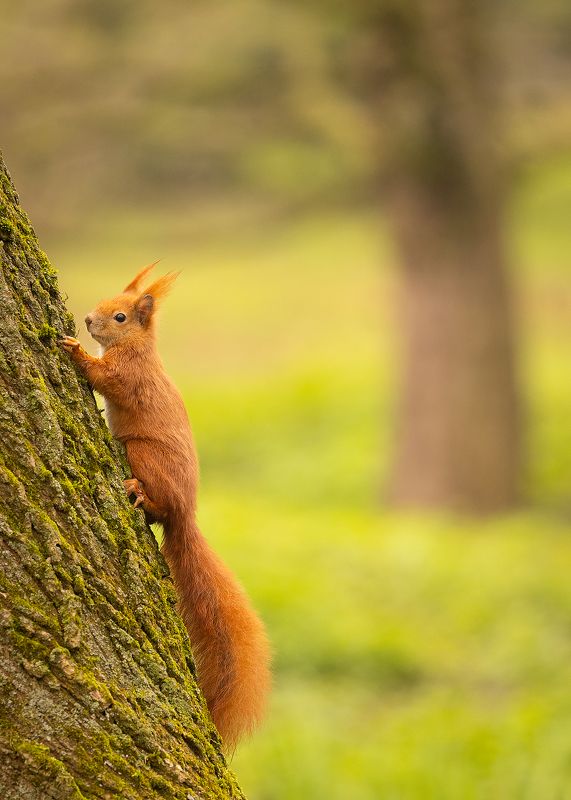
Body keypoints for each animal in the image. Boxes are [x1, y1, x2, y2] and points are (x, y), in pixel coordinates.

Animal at [60, 263, 271, 750]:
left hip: (142, 454)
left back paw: (140, 494)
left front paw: (76, 350)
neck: (138, 347)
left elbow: (105, 378)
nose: (87, 320)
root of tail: (184, 514)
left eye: (120, 317)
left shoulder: (128, 374)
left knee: (153, 504)